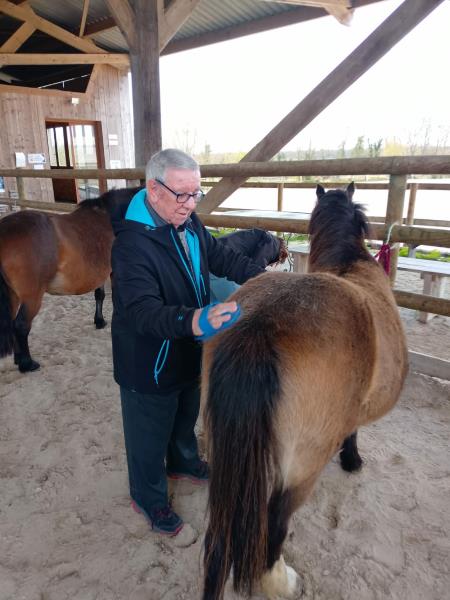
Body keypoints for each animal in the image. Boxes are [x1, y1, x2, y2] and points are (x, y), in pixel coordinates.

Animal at [0, 187, 137, 372]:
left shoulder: (101, 272)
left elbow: (99, 295)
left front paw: (99, 321)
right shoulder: (113, 272)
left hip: (13, 295)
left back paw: (18, 358)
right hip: (32, 297)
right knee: (20, 325)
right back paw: (27, 364)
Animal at [201, 183, 408, 600]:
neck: (349, 263)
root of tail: (260, 324)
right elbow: (353, 431)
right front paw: (352, 459)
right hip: (301, 468)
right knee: (276, 522)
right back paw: (282, 581)